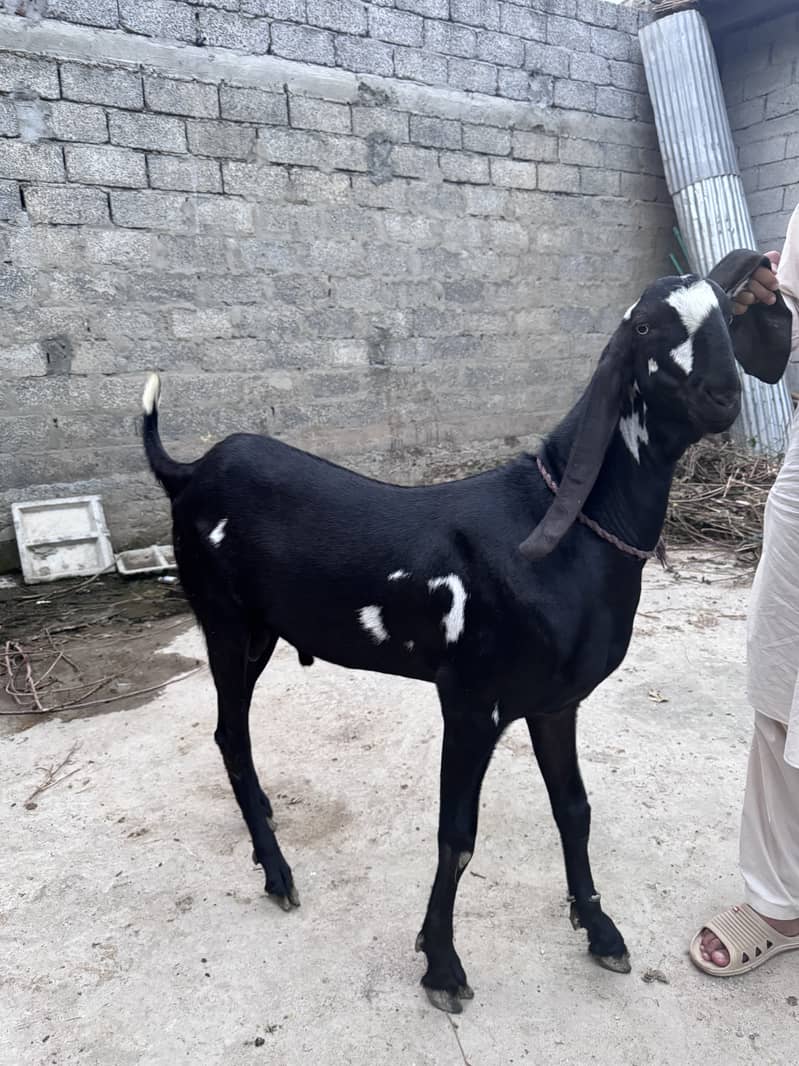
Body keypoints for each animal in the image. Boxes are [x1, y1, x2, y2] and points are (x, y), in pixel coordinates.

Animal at [142, 251, 790, 1014]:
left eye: (727, 312)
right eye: (647, 327)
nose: (723, 396)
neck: (563, 524)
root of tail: (189, 472)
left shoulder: (554, 703)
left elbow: (573, 808)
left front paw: (599, 929)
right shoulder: (472, 700)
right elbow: (457, 835)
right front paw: (442, 966)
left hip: (260, 631)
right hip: (225, 622)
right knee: (229, 733)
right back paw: (276, 870)